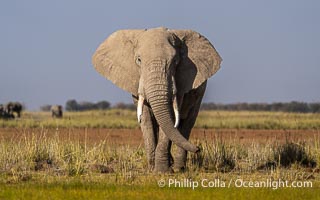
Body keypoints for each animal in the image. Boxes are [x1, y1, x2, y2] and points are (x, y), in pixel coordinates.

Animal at [92, 27, 221, 173]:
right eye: (139, 60)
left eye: (175, 61)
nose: (199, 148)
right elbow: (146, 118)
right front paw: (152, 168)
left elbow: (171, 115)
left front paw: (162, 171)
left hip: (200, 93)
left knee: (187, 123)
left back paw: (178, 168)